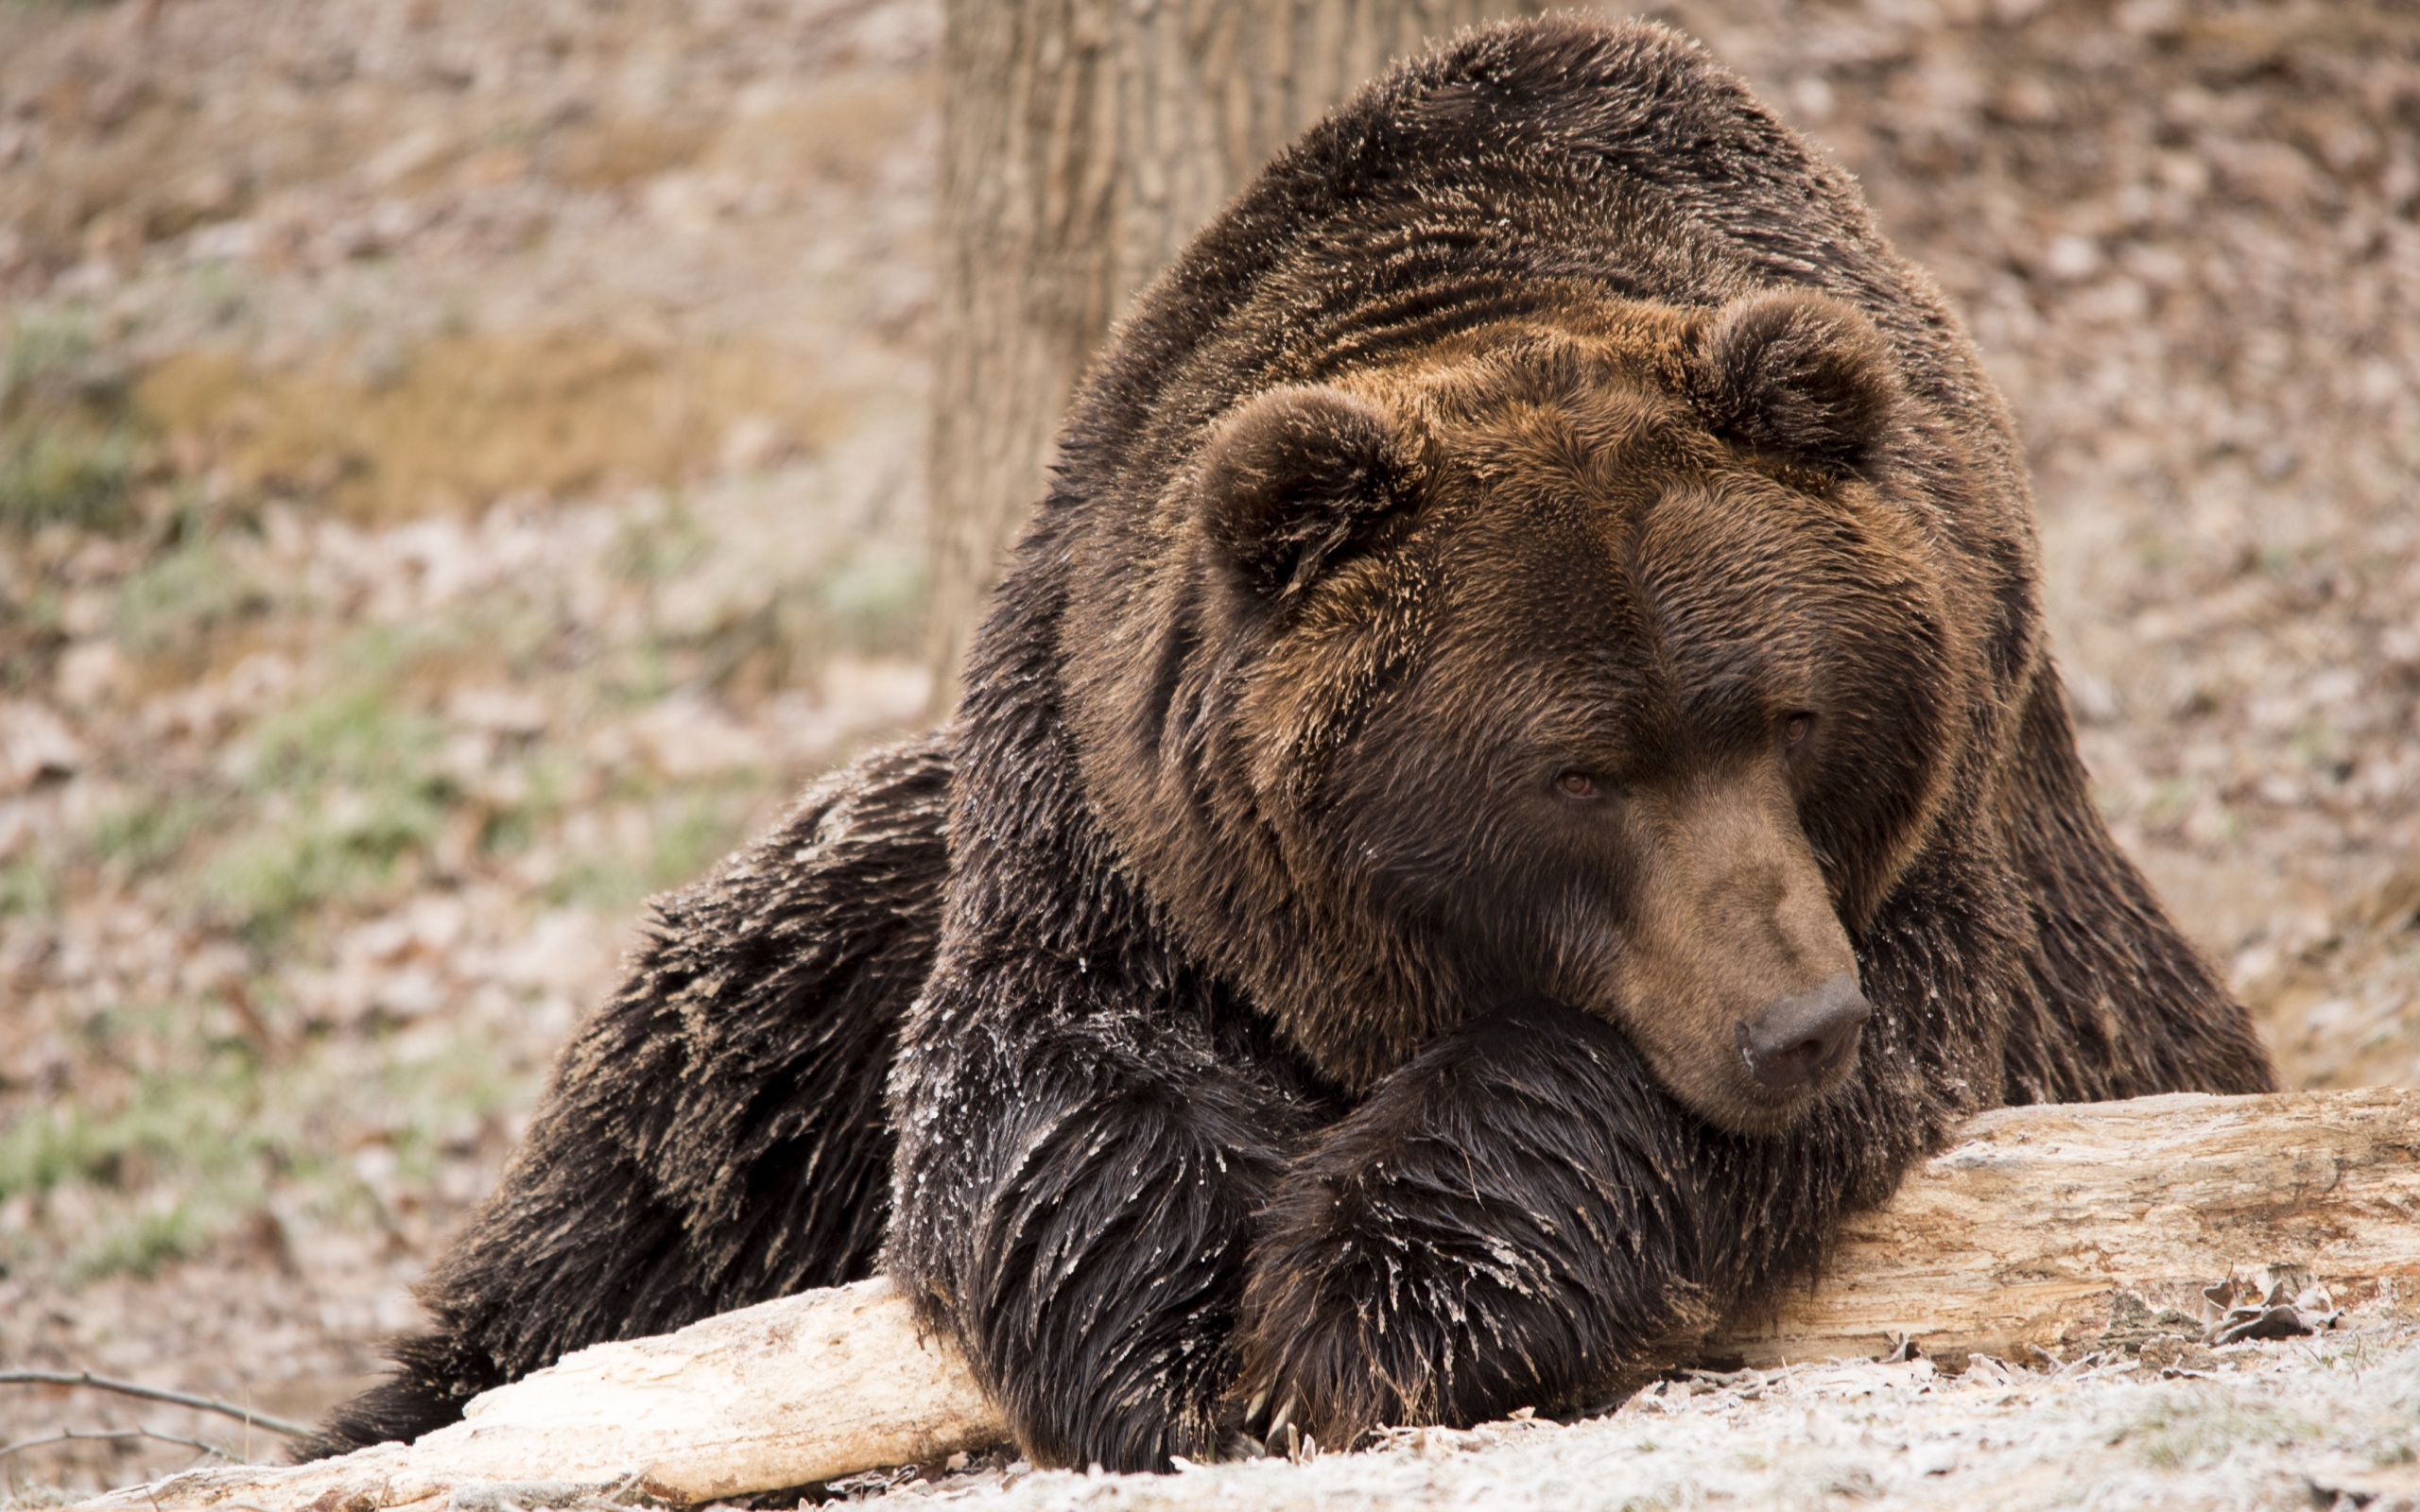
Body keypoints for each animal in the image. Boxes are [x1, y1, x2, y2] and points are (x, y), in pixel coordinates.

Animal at [308, 15, 2276, 1475]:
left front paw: (1366, 1300)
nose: (1792, 1023)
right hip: (841, 924)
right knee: (686, 1118)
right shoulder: (1103, 799)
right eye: (1577, 771)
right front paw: (1187, 1344)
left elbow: (1652, 1080)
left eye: (1789, 715)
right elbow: (1048, 1076)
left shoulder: (1942, 857)